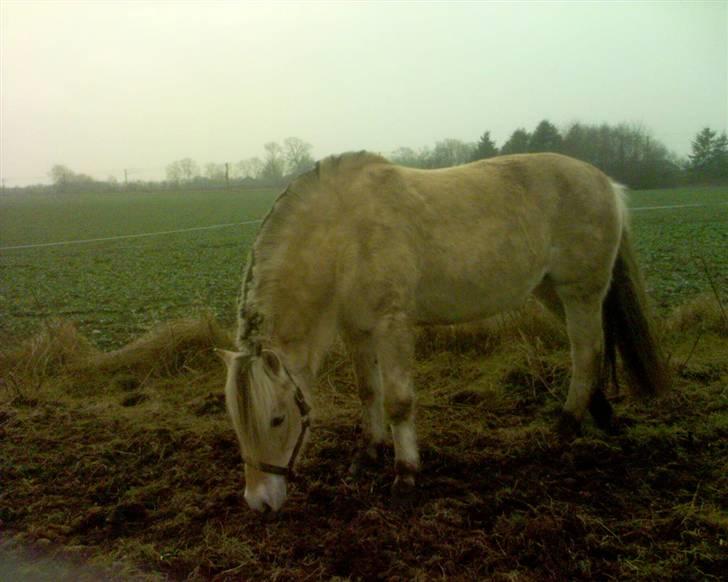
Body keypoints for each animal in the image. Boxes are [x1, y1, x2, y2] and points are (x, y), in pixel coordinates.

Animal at [219, 152, 668, 516]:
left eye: (277, 419)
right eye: (237, 422)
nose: (259, 502)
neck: (344, 234)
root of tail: (606, 183)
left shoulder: (393, 326)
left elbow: (398, 402)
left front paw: (404, 477)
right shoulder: (357, 330)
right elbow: (369, 393)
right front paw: (368, 454)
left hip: (580, 290)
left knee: (586, 350)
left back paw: (566, 425)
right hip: (551, 290)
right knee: (592, 347)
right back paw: (600, 413)